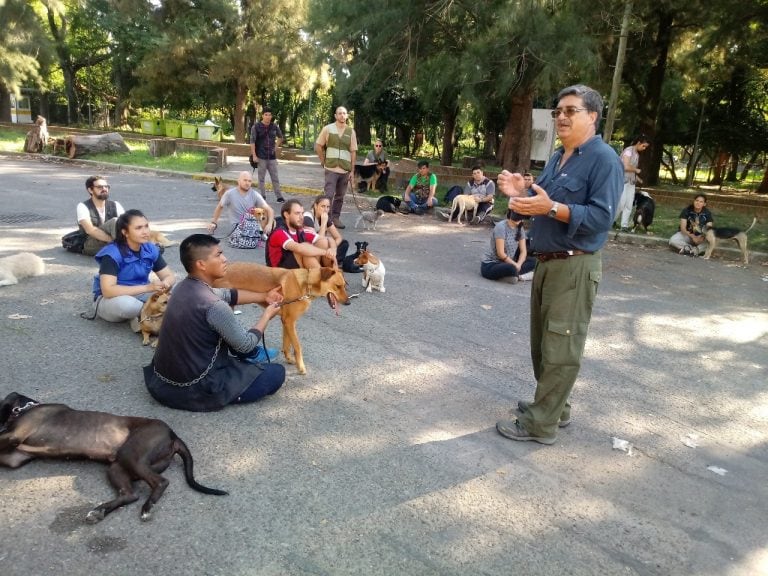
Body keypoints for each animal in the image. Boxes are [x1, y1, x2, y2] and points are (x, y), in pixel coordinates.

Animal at [214, 264, 350, 376]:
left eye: (344, 286)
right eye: (337, 286)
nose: (348, 303)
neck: (307, 284)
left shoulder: (286, 322)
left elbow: (287, 343)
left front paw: (289, 358)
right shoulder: (289, 322)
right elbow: (297, 346)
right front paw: (301, 367)